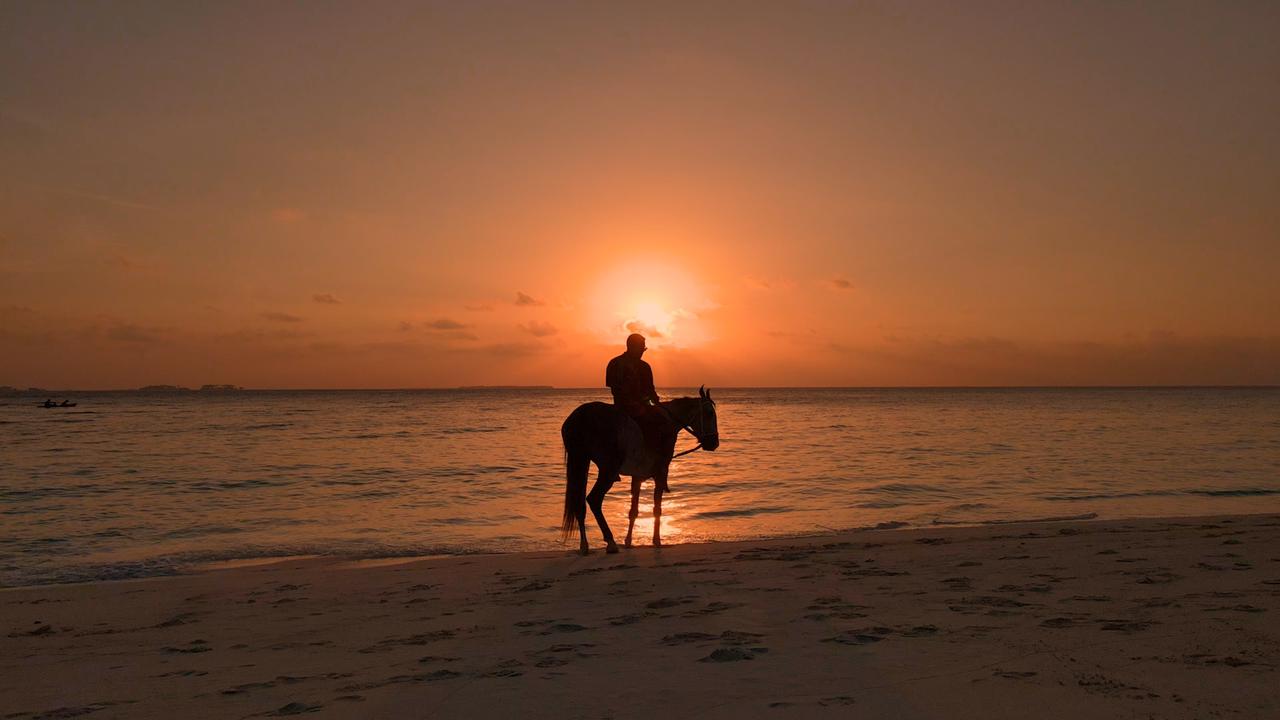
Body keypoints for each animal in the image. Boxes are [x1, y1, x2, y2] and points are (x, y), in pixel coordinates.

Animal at [560, 384, 721, 550]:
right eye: (710, 413)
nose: (714, 443)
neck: (668, 422)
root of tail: (580, 417)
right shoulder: (660, 473)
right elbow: (657, 509)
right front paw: (656, 540)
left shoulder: (637, 476)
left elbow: (634, 510)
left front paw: (628, 541)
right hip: (608, 469)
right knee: (594, 499)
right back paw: (610, 541)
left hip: (580, 461)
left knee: (579, 502)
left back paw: (584, 544)